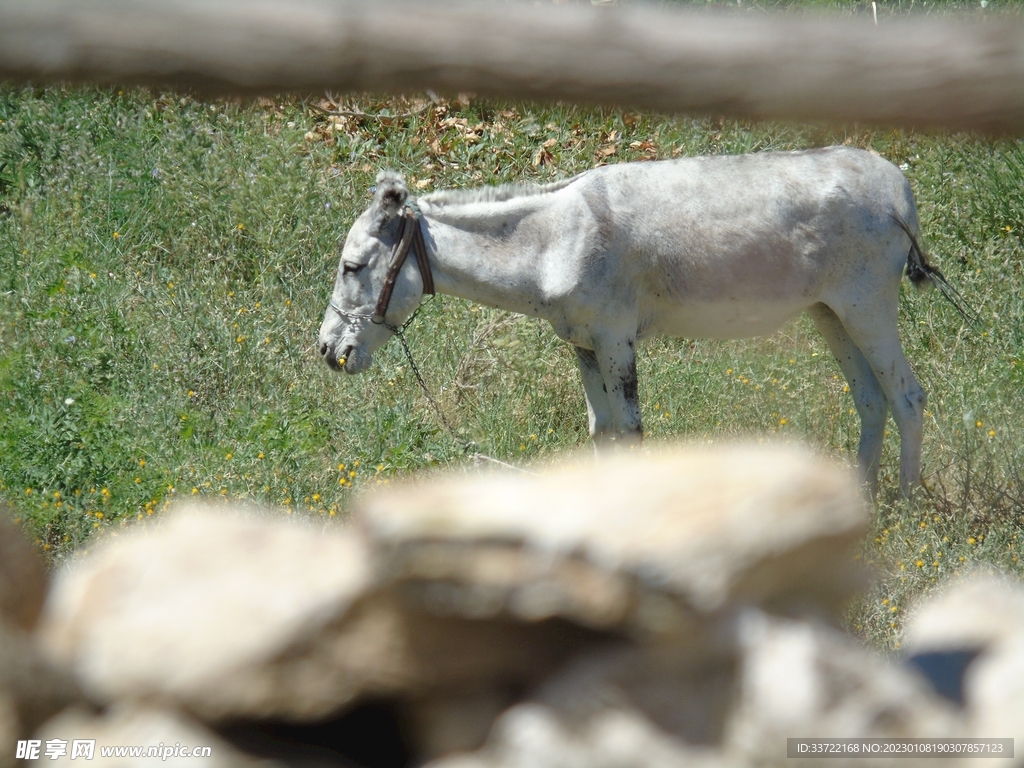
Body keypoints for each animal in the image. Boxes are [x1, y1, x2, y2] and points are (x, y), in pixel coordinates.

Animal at [319, 147, 959, 497]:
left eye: (352, 267)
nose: (327, 351)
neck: (553, 240)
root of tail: (897, 187)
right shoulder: (582, 343)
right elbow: (602, 432)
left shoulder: (614, 339)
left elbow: (629, 432)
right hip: (830, 313)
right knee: (871, 399)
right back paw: (862, 500)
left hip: (867, 304)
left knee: (907, 397)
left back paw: (905, 507)